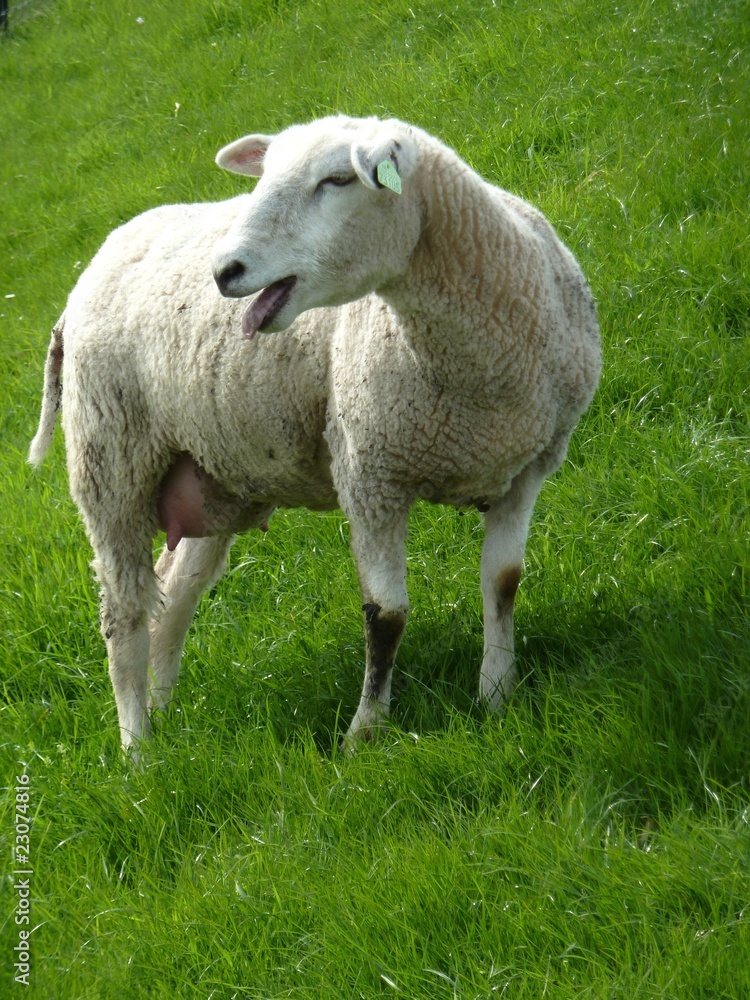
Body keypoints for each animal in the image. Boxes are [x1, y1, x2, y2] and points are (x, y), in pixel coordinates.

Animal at [29, 114, 601, 753]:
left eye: (337, 180)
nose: (224, 271)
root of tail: (92, 267)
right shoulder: (369, 475)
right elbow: (386, 614)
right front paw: (365, 734)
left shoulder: (527, 469)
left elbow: (503, 582)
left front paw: (497, 697)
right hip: (111, 466)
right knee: (123, 613)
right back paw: (139, 749)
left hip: (213, 474)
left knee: (173, 596)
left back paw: (165, 714)